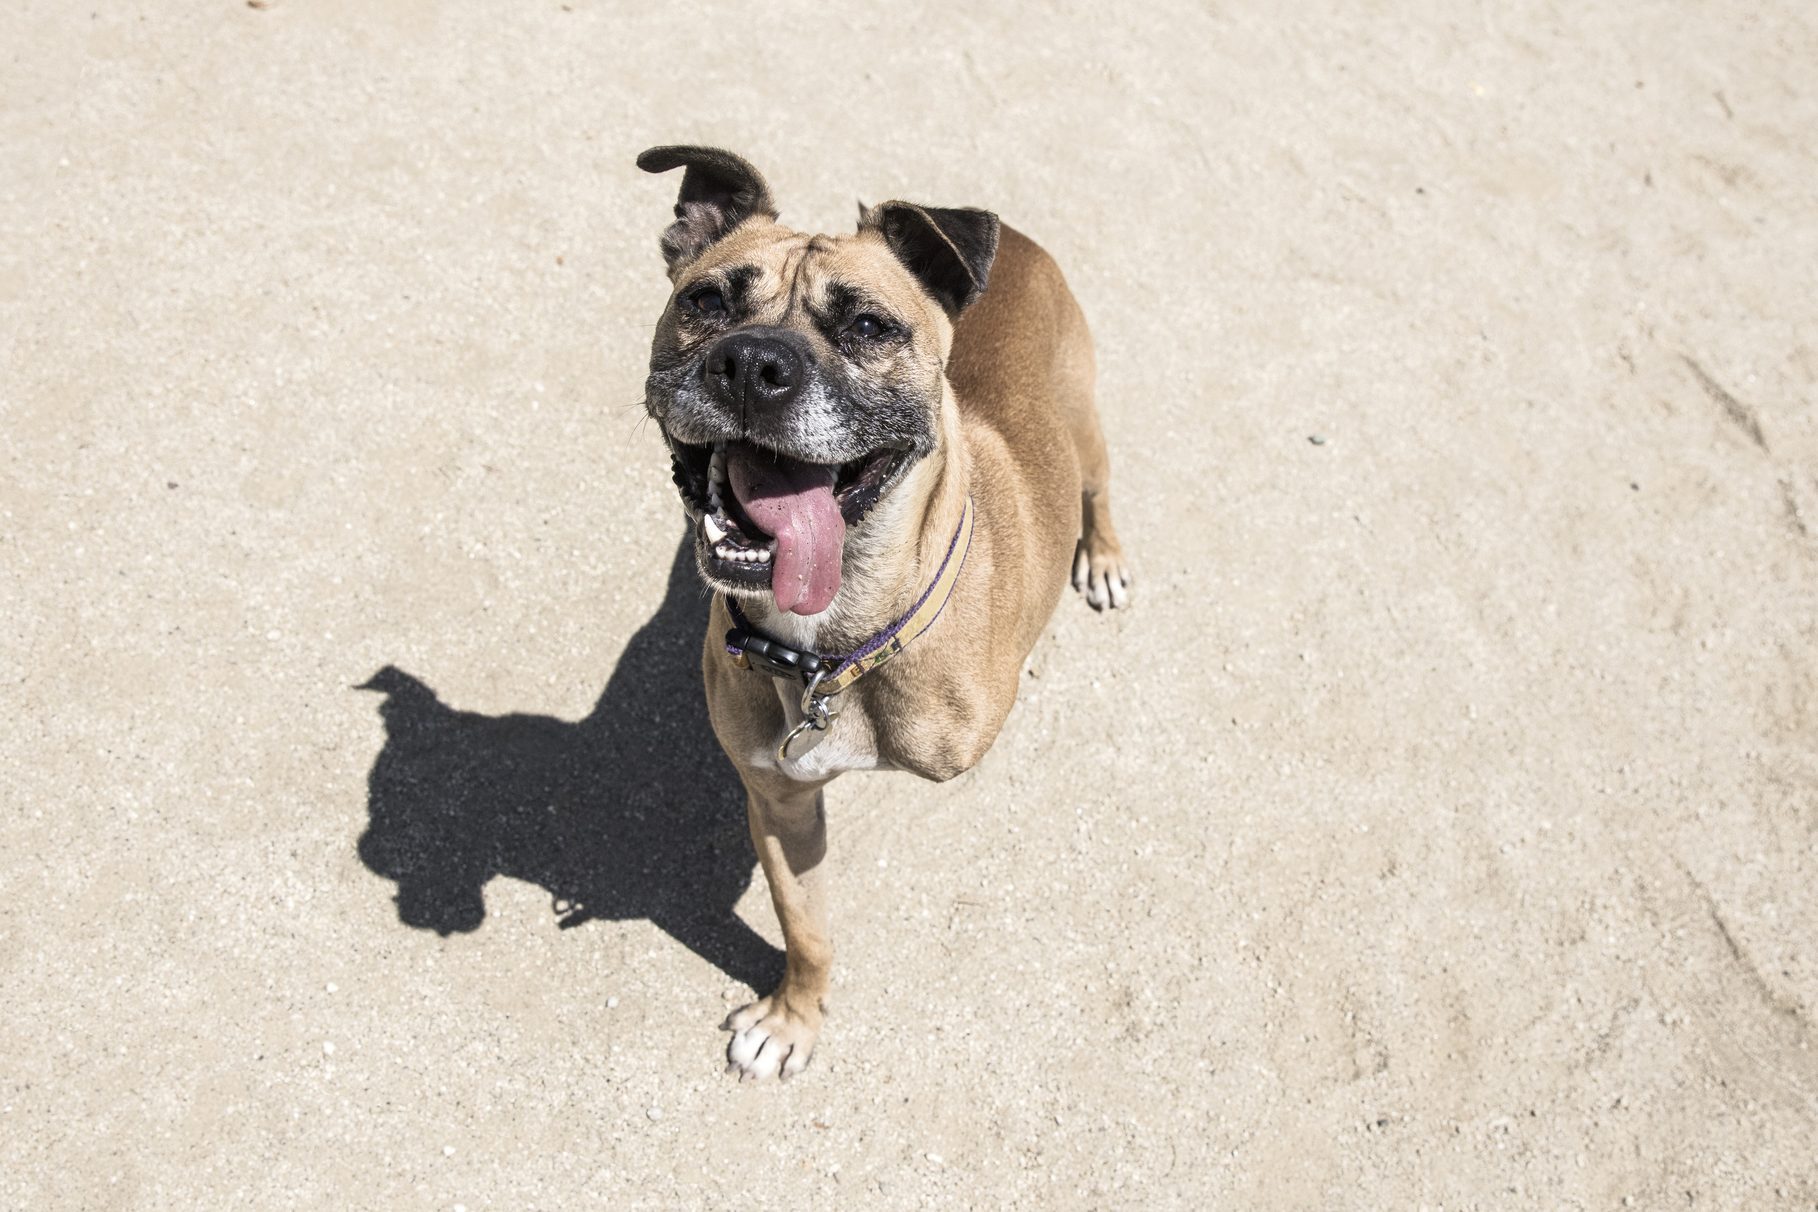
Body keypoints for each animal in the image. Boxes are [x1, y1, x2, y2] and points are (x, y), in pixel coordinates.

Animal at [636, 144, 1119, 1082]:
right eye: (706, 302)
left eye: (866, 326)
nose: (752, 365)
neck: (836, 651)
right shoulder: (779, 801)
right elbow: (807, 930)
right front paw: (793, 1020)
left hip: (1084, 422)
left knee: (1098, 481)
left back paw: (1105, 554)